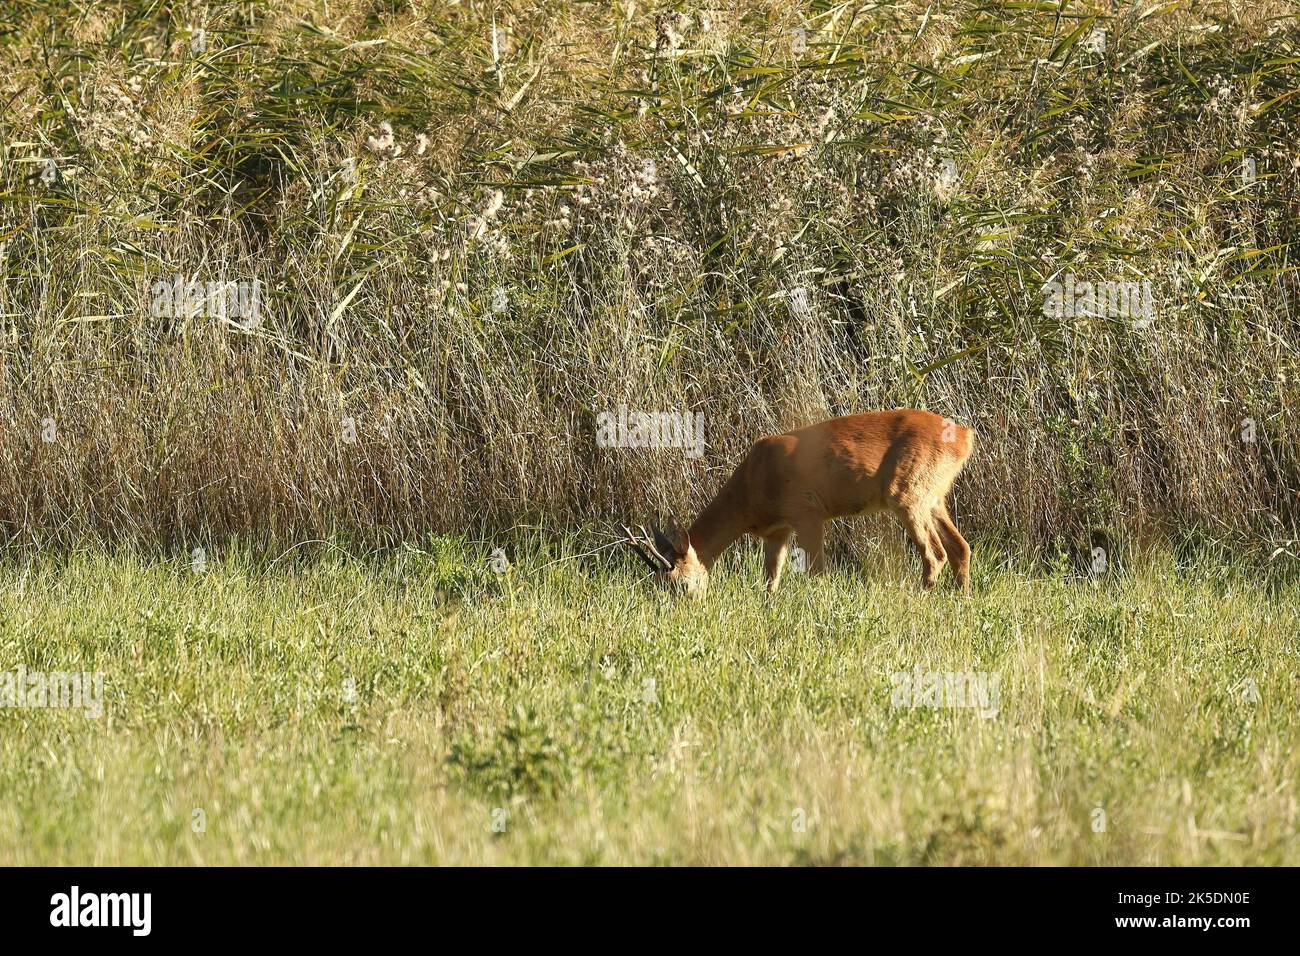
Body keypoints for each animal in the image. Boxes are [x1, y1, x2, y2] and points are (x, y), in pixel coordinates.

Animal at [621, 408, 977, 598]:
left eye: (679, 584)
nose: (683, 609)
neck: (750, 490)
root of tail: (964, 436)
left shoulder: (806, 511)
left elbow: (816, 571)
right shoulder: (776, 531)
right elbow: (771, 578)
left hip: (907, 494)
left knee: (936, 554)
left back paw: (921, 598)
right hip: (933, 496)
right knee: (960, 547)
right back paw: (961, 598)